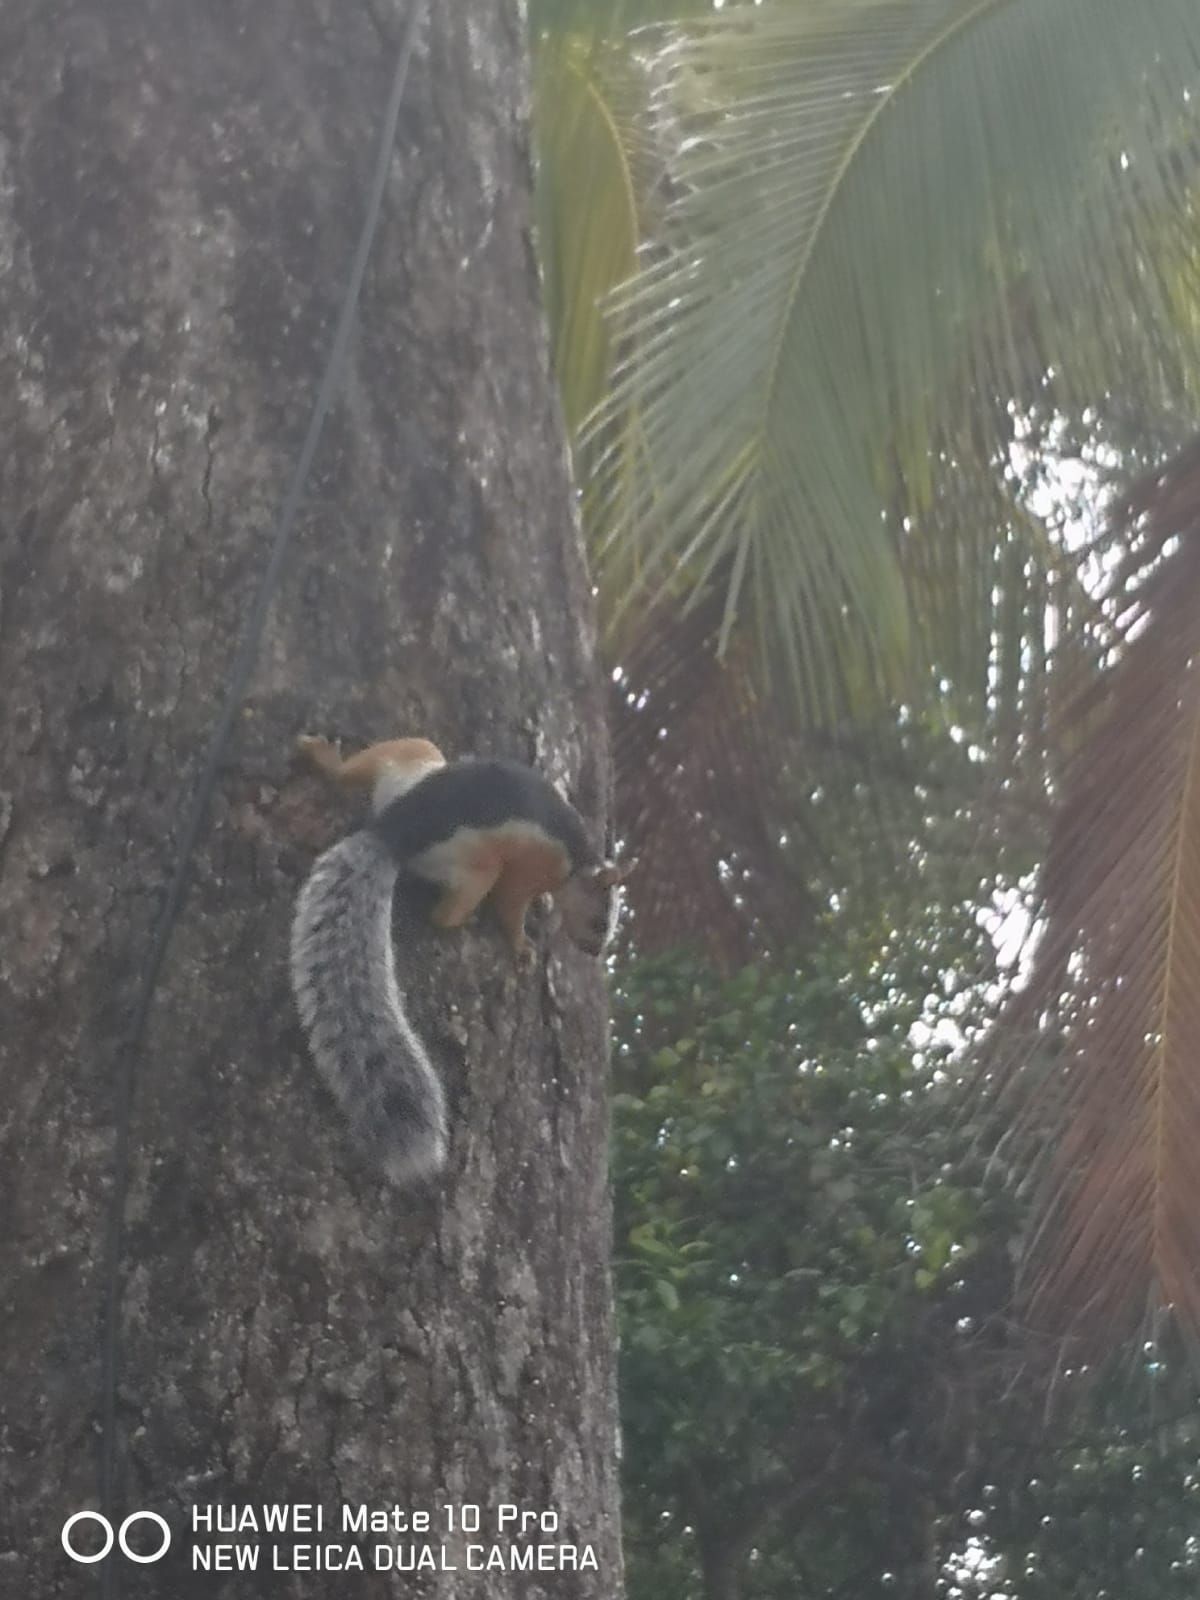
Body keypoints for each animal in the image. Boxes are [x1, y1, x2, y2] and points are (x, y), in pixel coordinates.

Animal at [289, 733, 630, 1187]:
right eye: (599, 922)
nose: (593, 951)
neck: (578, 859)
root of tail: (391, 832)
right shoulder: (531, 868)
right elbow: (512, 906)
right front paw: (522, 945)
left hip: (412, 761)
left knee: (360, 768)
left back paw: (323, 757)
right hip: (476, 863)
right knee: (450, 909)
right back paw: (462, 919)